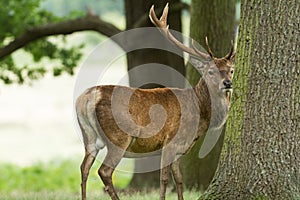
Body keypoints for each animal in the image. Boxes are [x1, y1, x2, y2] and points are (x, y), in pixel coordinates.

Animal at [75, 3, 234, 200]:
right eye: (211, 71)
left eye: (231, 70)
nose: (227, 83)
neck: (200, 116)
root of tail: (87, 98)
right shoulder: (170, 141)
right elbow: (164, 179)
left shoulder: (179, 148)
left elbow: (179, 179)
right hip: (119, 137)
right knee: (104, 171)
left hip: (88, 136)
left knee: (84, 168)